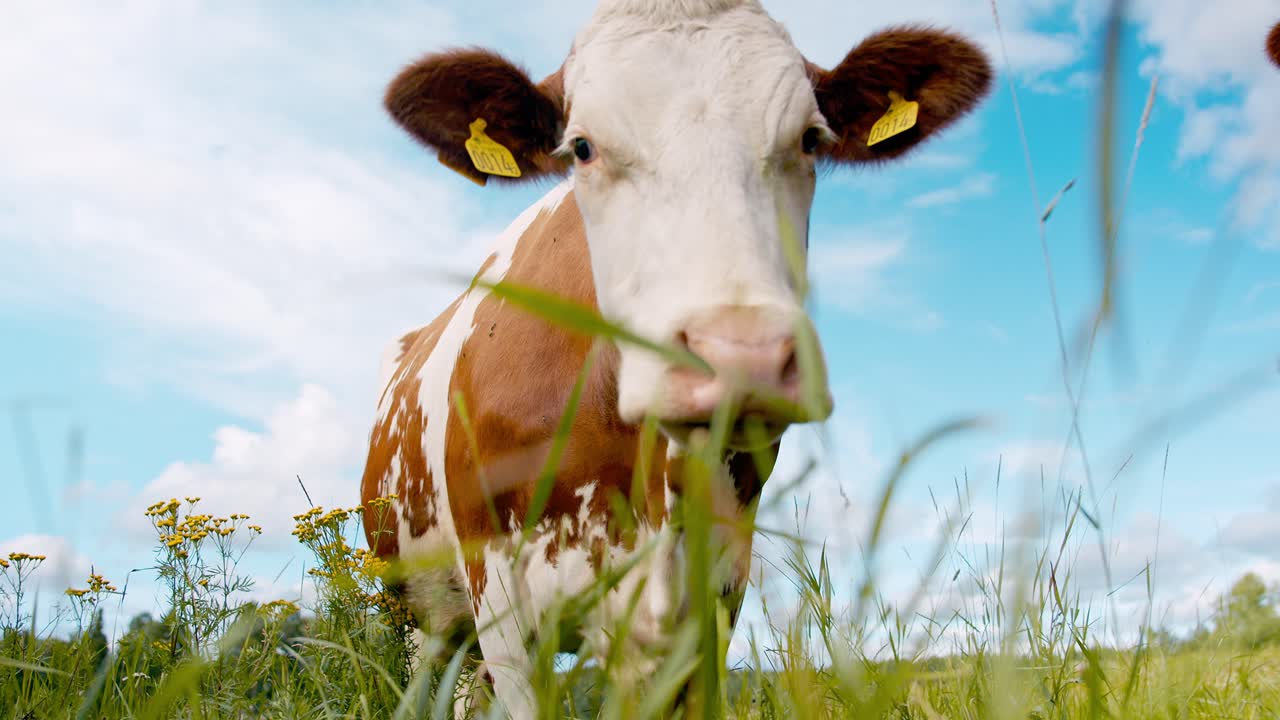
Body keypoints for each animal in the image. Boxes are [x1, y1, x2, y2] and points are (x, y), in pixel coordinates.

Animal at [360, 1, 992, 717]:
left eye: (809, 140)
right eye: (582, 147)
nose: (742, 356)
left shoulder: (714, 590)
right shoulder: (499, 595)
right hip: (422, 616)